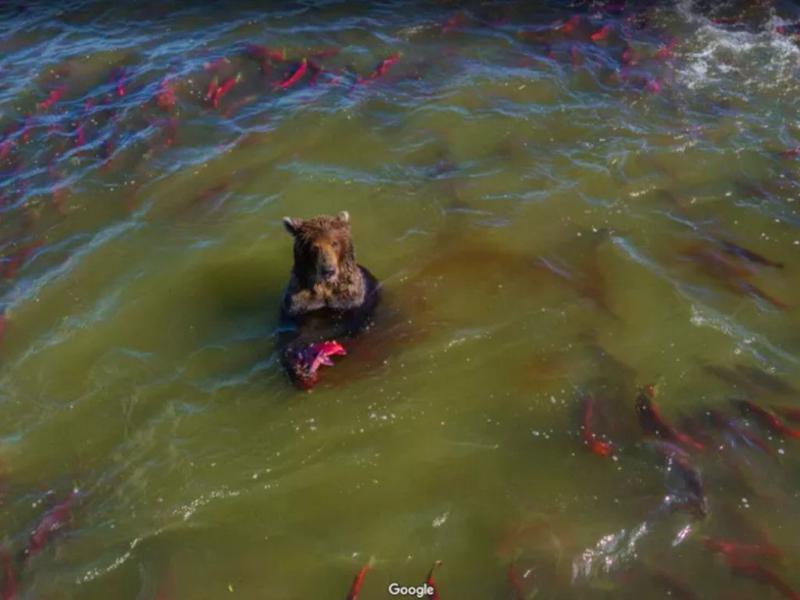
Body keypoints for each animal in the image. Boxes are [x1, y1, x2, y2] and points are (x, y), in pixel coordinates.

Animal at [278, 211, 380, 387]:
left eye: (334, 243)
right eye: (314, 246)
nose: (328, 270)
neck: (325, 289)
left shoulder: (353, 299)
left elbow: (348, 325)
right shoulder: (299, 305)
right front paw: (299, 369)